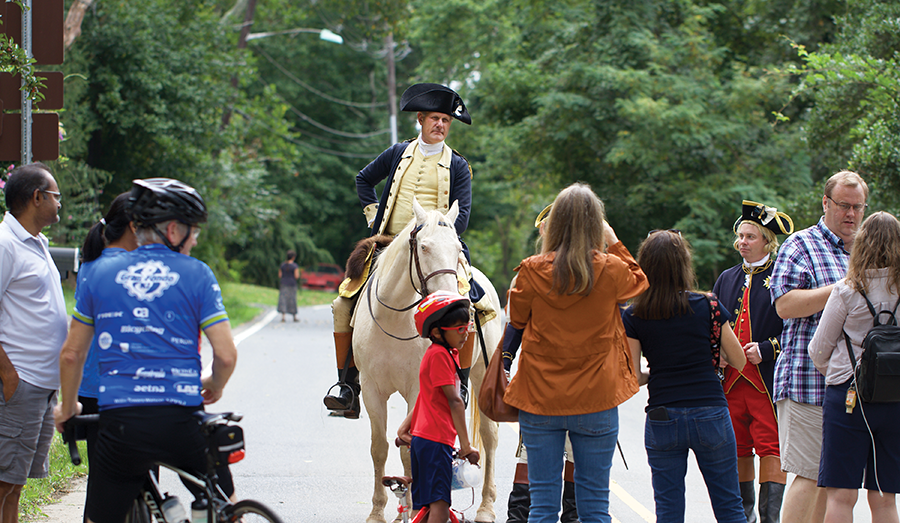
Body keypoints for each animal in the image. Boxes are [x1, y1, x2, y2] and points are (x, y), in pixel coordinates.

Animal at [352, 201, 502, 523]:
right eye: (423, 246)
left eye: (457, 247)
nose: (457, 303)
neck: (394, 320)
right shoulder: (371, 389)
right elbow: (379, 447)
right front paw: (378, 511)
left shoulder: (417, 390)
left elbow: (409, 448)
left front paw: (413, 508)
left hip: (483, 374)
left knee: (490, 436)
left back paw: (486, 507)